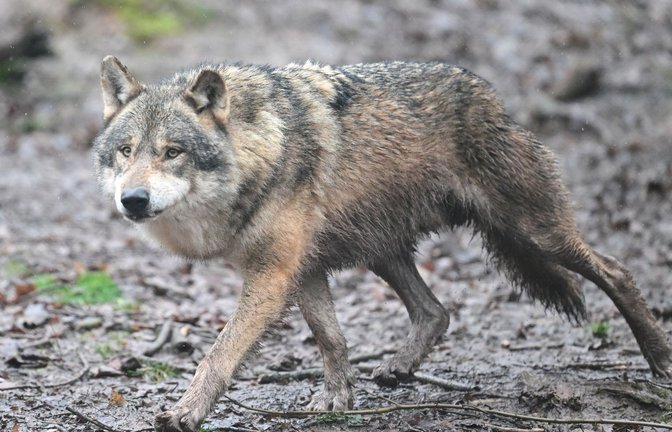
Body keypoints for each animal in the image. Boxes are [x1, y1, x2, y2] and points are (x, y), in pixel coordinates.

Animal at [93, 55, 672, 432]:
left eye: (172, 152)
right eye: (126, 150)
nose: (133, 200)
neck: (260, 150)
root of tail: (491, 96)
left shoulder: (273, 275)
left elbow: (218, 354)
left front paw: (185, 412)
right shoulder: (302, 270)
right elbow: (332, 339)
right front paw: (336, 401)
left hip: (536, 233)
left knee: (616, 270)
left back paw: (660, 360)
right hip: (382, 250)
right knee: (436, 310)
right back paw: (398, 368)